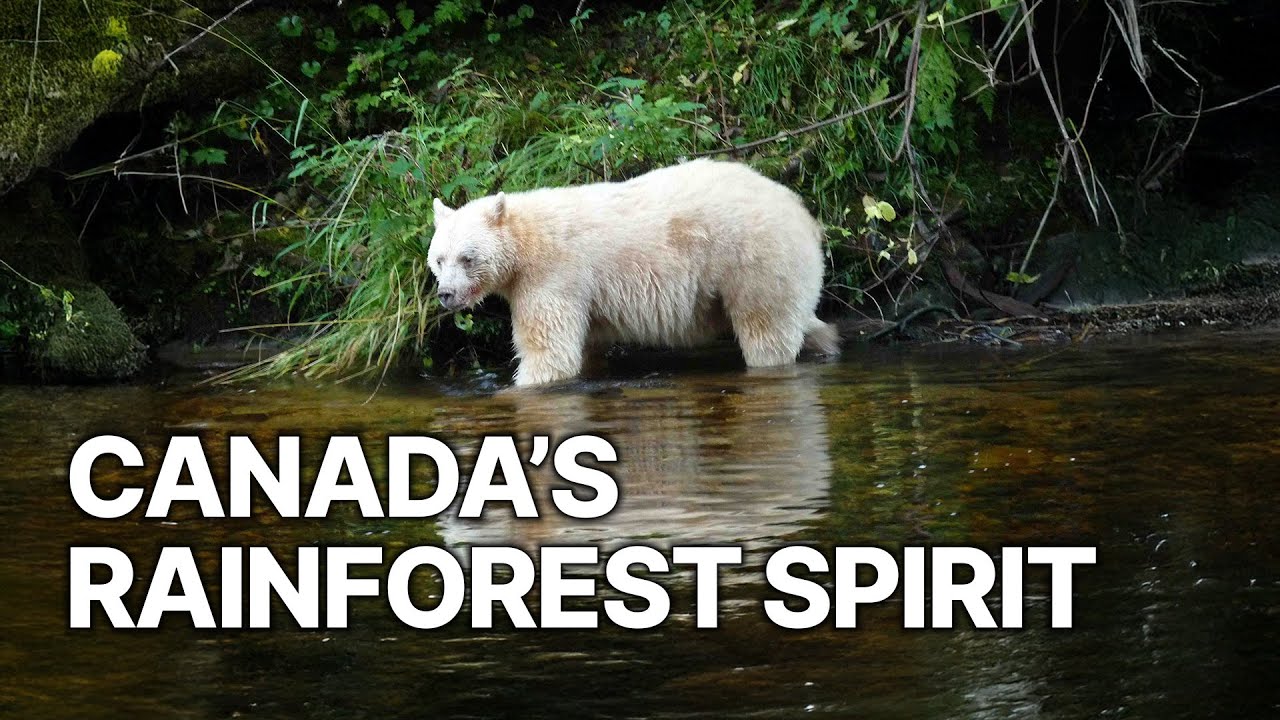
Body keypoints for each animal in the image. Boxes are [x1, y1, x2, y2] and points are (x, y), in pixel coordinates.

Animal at [427, 158, 839, 386]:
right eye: (438, 260)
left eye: (467, 257)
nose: (446, 294)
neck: (528, 239)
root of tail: (802, 213)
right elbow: (583, 345)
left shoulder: (552, 276)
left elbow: (549, 349)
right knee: (801, 319)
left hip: (754, 259)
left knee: (766, 329)